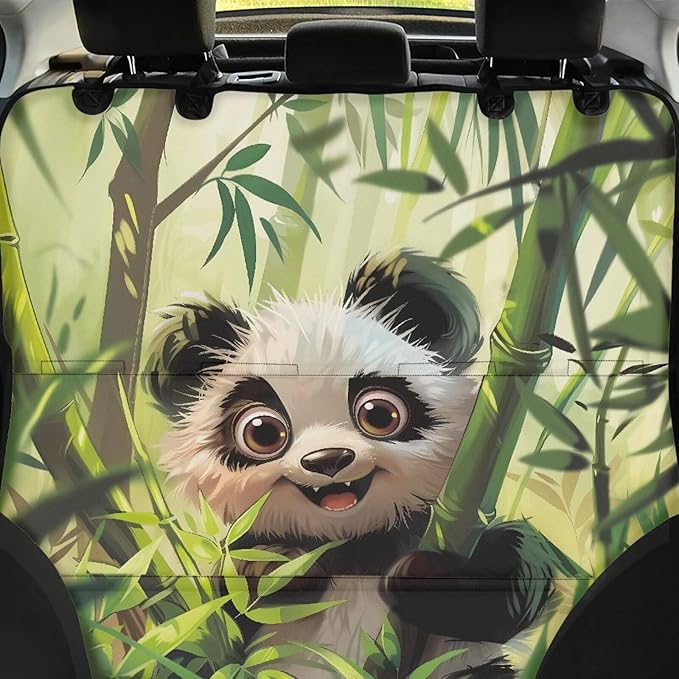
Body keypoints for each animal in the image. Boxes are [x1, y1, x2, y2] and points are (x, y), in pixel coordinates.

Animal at [145, 249, 554, 678]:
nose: (328, 460)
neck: (352, 543)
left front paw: (427, 574)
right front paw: (277, 567)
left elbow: (510, 580)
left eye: (379, 414)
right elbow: (225, 602)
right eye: (262, 432)